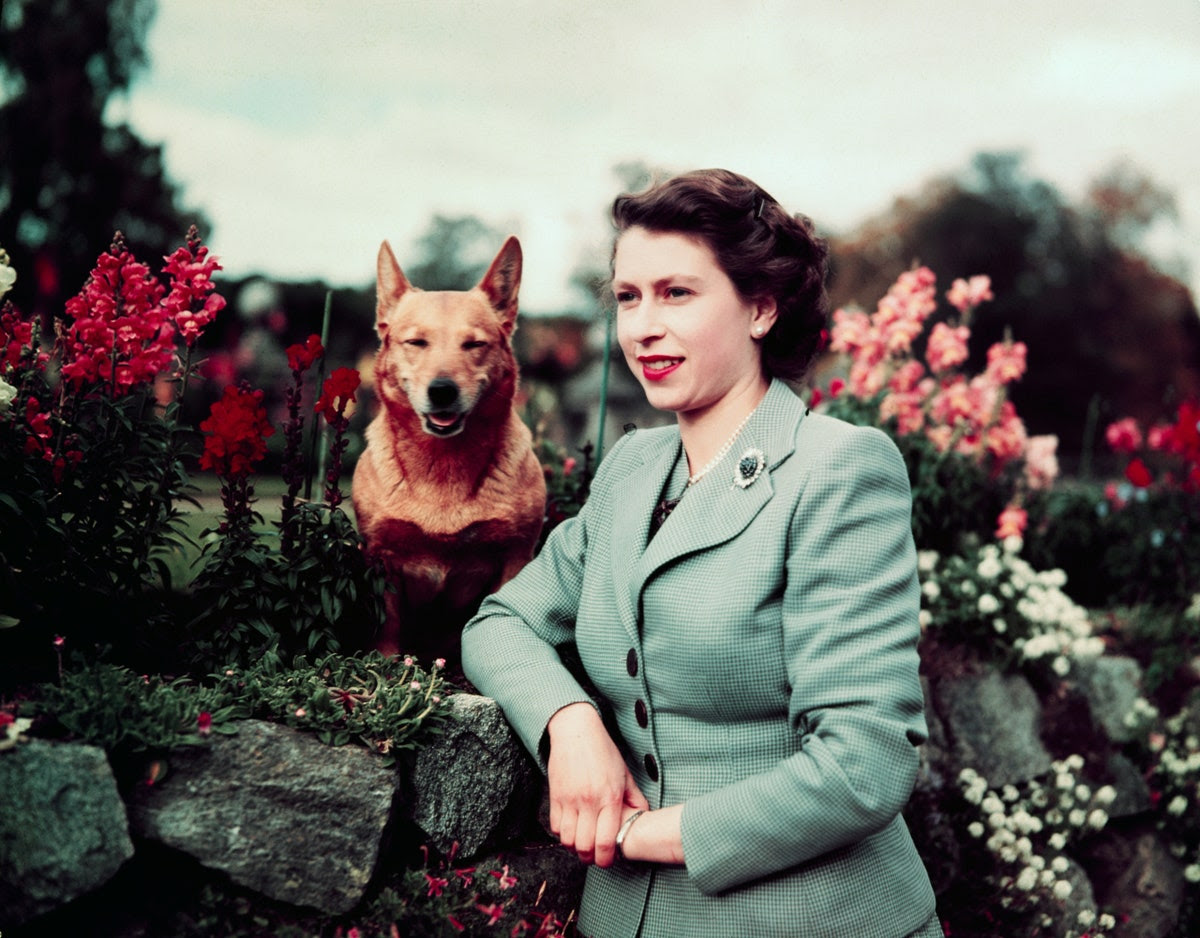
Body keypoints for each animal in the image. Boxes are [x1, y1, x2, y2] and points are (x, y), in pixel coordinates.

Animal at [352, 237, 547, 662]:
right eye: (416, 342)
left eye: (473, 344)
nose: (442, 390)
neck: (443, 465)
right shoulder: (381, 556)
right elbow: (388, 625)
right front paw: (386, 666)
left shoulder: (516, 556)